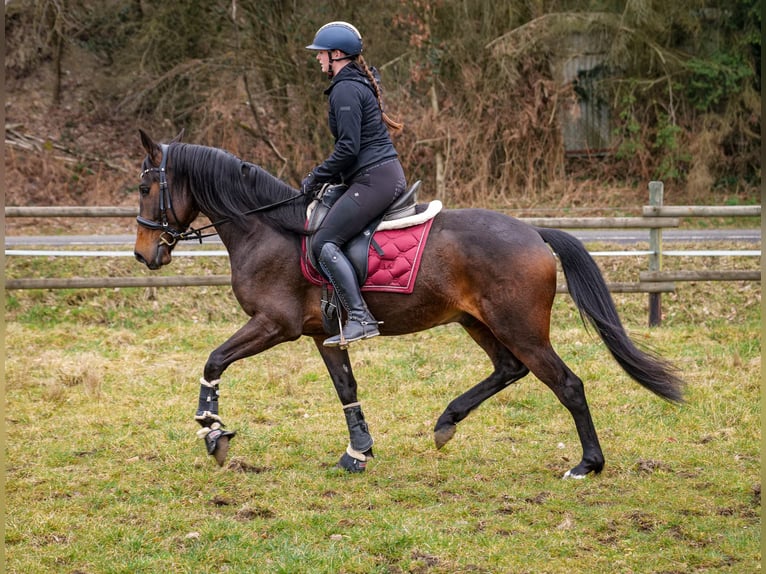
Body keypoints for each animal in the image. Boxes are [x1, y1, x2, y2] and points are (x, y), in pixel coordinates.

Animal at [134, 128, 688, 480]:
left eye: (144, 186)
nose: (144, 254)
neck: (267, 228)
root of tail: (533, 232)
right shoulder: (323, 334)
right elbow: (346, 389)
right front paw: (358, 452)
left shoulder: (275, 324)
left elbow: (214, 360)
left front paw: (212, 432)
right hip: (478, 322)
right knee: (508, 369)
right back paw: (447, 422)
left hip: (520, 327)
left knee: (567, 384)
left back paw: (586, 464)